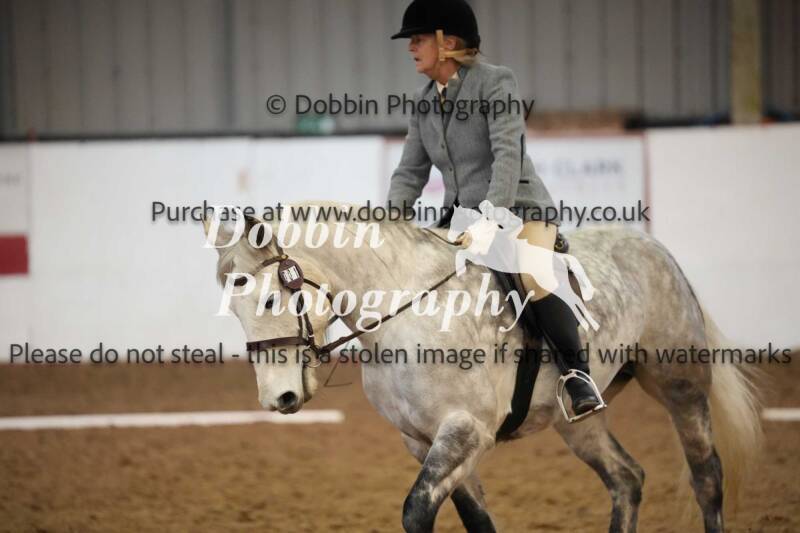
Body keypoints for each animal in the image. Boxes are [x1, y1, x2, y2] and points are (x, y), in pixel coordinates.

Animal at [203, 203, 761, 533]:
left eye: (271, 299)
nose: (278, 399)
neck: (412, 312)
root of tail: (654, 248)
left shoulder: (465, 431)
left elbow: (416, 512)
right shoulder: (426, 441)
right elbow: (476, 520)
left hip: (681, 385)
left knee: (706, 476)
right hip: (576, 421)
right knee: (627, 478)